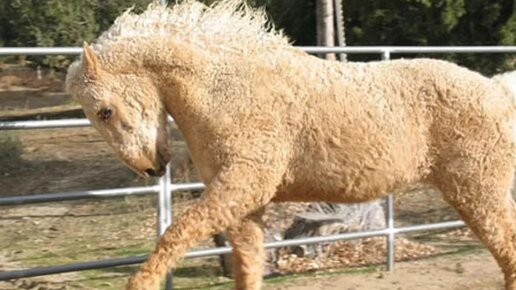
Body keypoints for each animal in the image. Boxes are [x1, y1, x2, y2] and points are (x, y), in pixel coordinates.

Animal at [64, 1, 516, 288]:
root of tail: (497, 89)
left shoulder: (240, 186)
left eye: (103, 111)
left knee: (507, 249)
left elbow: (176, 234)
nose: (152, 167)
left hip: (478, 192)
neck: (226, 88)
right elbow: (248, 266)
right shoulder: (245, 204)